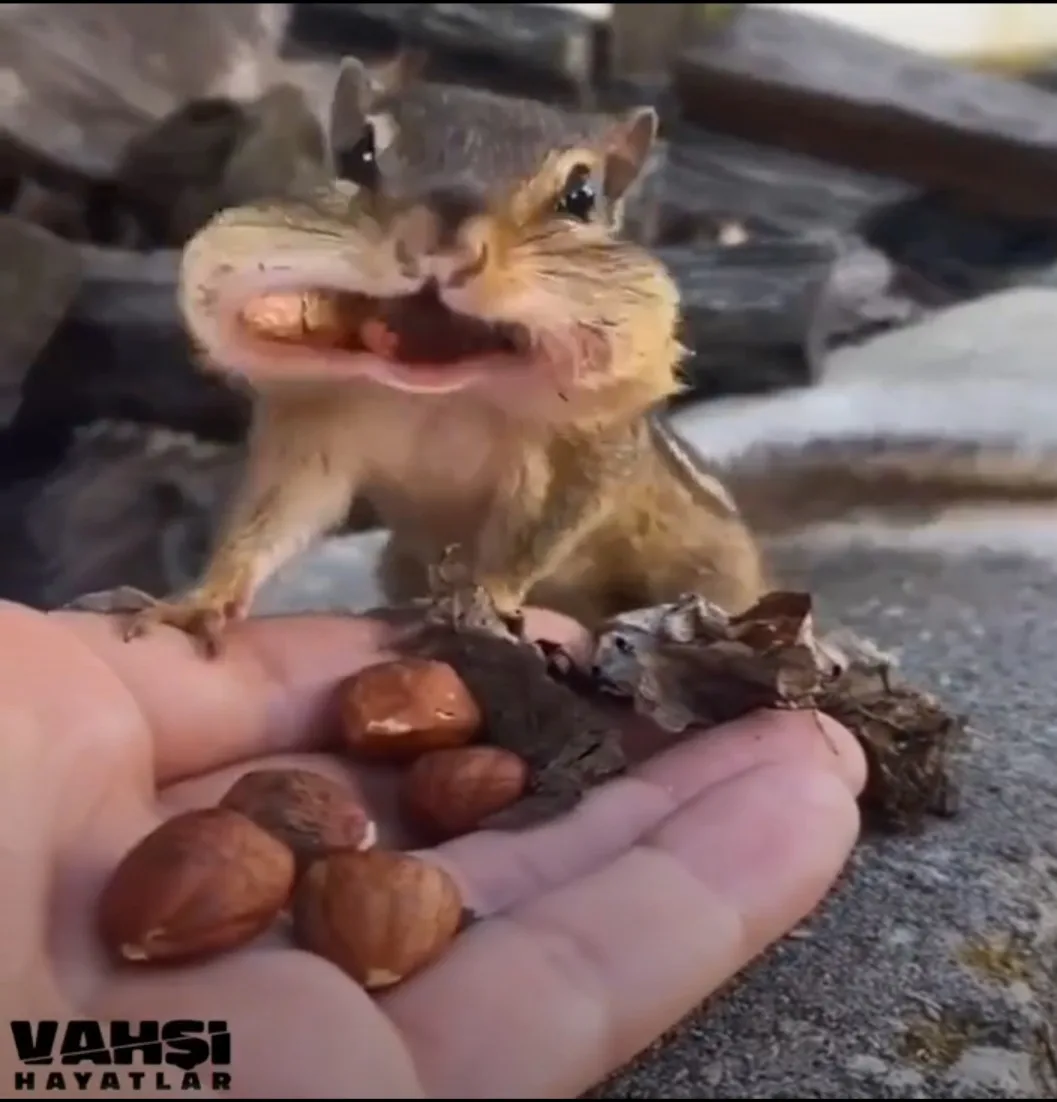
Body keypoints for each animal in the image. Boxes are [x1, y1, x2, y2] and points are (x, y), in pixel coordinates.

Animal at [120, 51, 1057, 655]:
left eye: (580, 194)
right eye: (358, 153)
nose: (441, 247)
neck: (437, 390)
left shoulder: (577, 456)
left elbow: (539, 532)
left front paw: (486, 598)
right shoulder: (316, 434)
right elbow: (274, 520)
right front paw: (199, 600)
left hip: (705, 569)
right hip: (400, 556)